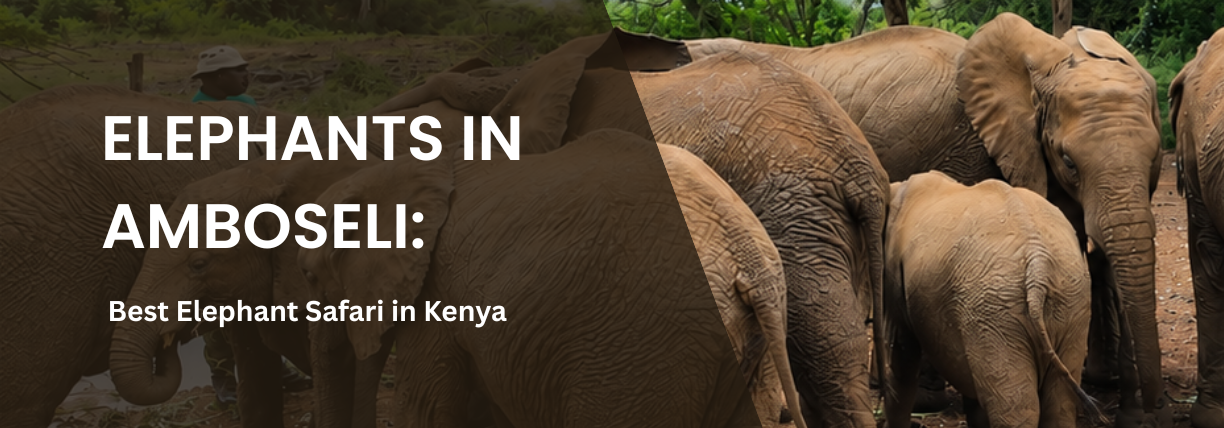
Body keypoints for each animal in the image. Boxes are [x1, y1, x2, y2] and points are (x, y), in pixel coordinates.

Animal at [880, 171, 1105, 428]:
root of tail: (1038, 261)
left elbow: (902, 353)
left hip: (995, 310)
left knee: (1015, 409)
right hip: (1069, 301)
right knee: (1058, 404)